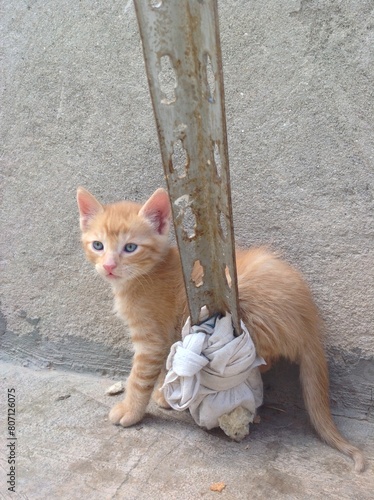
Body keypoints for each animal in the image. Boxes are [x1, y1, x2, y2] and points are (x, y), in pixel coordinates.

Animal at [76, 186, 366, 470]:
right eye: (98, 245)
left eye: (130, 247)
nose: (109, 266)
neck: (146, 274)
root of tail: (309, 319)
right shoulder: (164, 334)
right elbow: (163, 366)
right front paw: (162, 392)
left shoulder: (150, 339)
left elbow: (139, 377)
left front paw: (132, 410)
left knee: (261, 359)